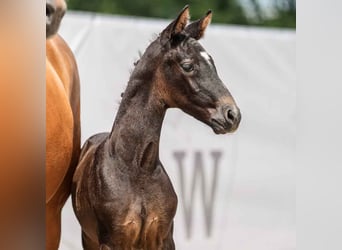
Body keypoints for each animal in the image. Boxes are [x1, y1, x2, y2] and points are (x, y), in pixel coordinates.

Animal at [72, 6, 240, 250]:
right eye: (187, 65)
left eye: (213, 64)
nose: (232, 115)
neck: (137, 168)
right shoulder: (112, 241)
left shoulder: (164, 238)